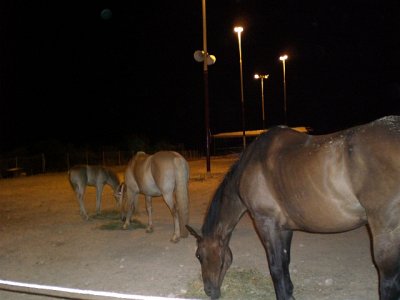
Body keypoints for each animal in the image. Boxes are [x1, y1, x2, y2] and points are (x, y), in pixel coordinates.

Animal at [187, 115, 400, 300]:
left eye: (199, 255)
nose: (209, 291)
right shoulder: (284, 227)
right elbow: (285, 261)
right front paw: (289, 292)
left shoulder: (266, 223)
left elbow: (275, 267)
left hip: (386, 232)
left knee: (388, 279)